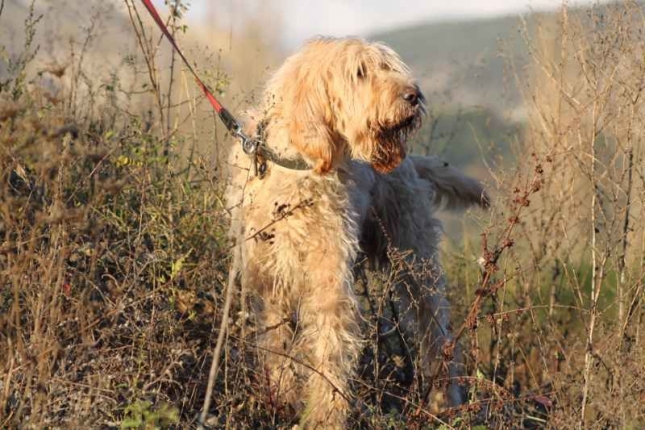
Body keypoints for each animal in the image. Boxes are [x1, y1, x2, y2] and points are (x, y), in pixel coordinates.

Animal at [225, 38, 484, 428]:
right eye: (359, 72)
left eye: (388, 66)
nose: (414, 95)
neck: (297, 167)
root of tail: (409, 163)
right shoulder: (269, 282)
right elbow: (276, 345)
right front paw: (282, 396)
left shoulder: (329, 281)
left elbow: (330, 350)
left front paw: (324, 416)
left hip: (415, 262)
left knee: (435, 331)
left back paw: (444, 401)